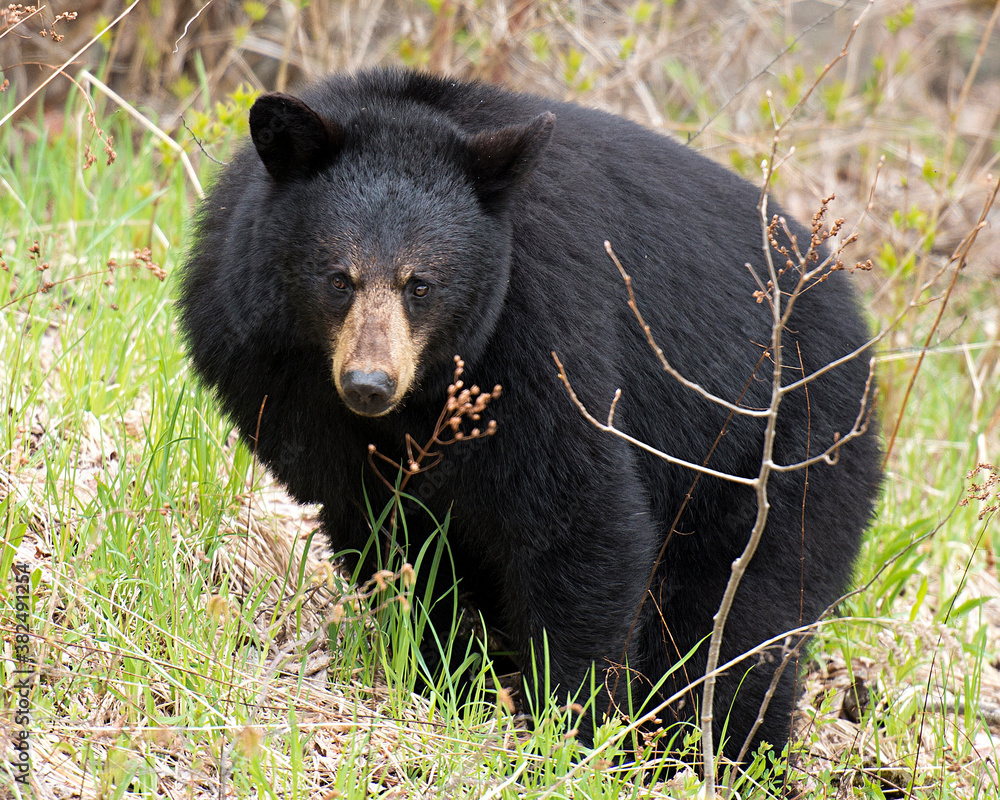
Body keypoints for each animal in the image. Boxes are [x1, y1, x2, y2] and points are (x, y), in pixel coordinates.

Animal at [177, 67, 881, 765]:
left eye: (421, 284)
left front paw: (572, 724)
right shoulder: (273, 370)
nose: (369, 384)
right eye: (337, 279)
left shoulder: (541, 329)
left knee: (746, 612)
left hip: (786, 446)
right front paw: (451, 677)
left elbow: (578, 515)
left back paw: (720, 747)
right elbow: (391, 536)